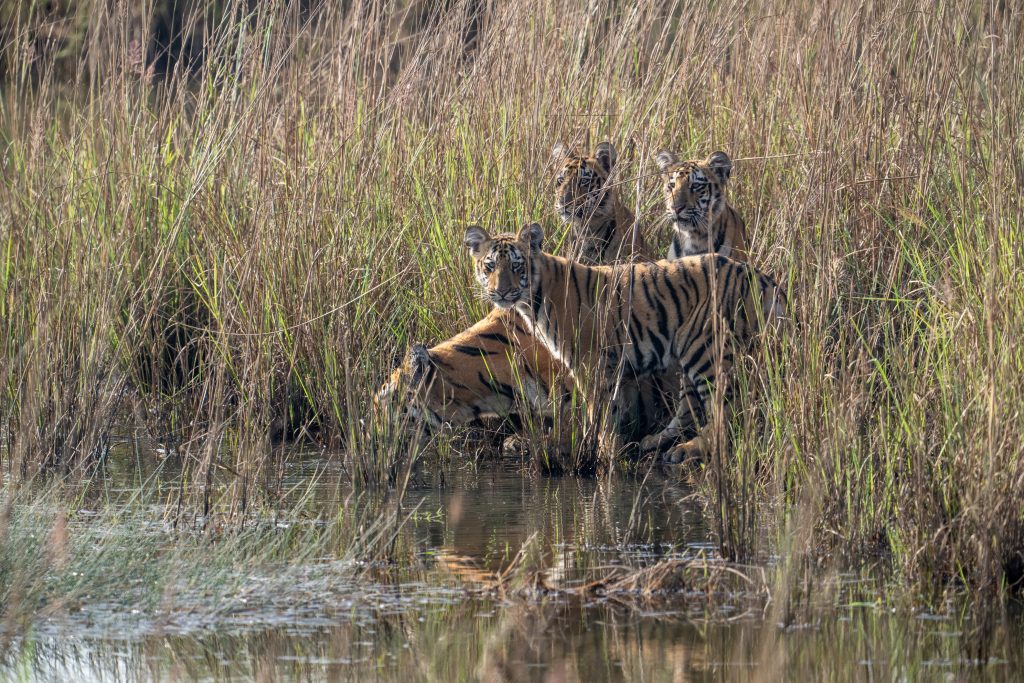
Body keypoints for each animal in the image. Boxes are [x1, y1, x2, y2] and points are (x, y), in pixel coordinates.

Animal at [464, 222, 782, 462]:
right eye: (489, 266)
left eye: (517, 266)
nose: (500, 292)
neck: (532, 301)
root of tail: (761, 277)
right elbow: (608, 409)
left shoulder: (589, 362)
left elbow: (599, 411)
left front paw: (603, 451)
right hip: (692, 351)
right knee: (689, 407)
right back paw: (658, 442)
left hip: (706, 350)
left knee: (726, 410)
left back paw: (691, 449)